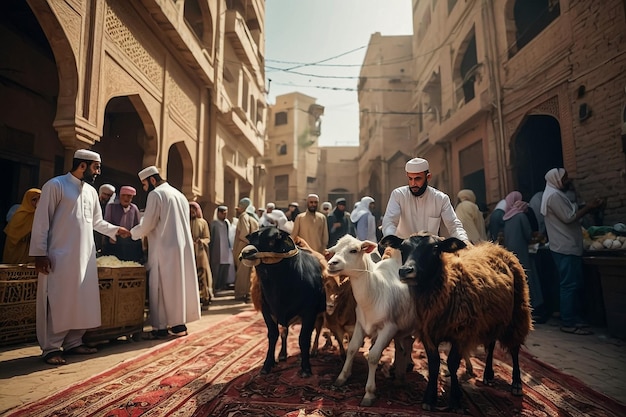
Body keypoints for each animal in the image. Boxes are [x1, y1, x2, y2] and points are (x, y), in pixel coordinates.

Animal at [324, 234, 416, 406]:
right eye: (334, 250)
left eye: (354, 250)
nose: (332, 263)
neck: (374, 292)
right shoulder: (360, 324)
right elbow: (352, 348)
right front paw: (342, 377)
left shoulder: (389, 328)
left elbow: (373, 357)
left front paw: (369, 393)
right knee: (405, 344)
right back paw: (399, 374)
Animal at [380, 232, 532, 412]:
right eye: (403, 248)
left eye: (435, 248)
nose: (405, 271)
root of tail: (497, 246)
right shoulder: (429, 333)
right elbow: (434, 364)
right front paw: (430, 399)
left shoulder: (461, 333)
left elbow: (452, 363)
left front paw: (455, 400)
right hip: (493, 318)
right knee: (492, 344)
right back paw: (488, 375)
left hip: (518, 313)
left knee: (514, 348)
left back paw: (516, 383)